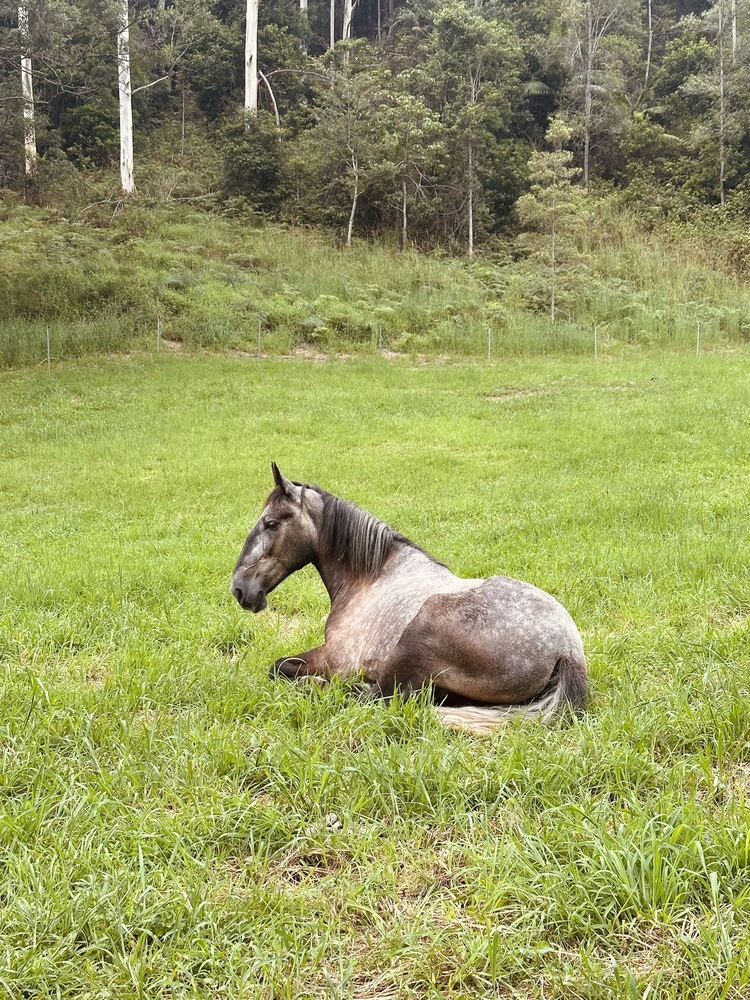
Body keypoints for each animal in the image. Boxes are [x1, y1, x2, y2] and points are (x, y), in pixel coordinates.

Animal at [231, 464, 588, 734]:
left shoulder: (336, 658)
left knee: (379, 698)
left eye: (270, 523)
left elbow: (279, 667)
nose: (239, 589)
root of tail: (567, 652)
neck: (372, 577)